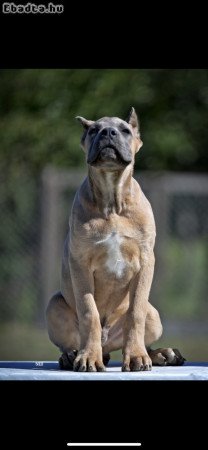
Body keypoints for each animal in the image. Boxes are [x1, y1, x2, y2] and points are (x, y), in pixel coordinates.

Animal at [46, 107, 185, 370]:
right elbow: (89, 311)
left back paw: (161, 354)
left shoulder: (145, 262)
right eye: (93, 130)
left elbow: (135, 312)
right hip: (54, 305)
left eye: (125, 130)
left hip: (154, 315)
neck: (113, 201)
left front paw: (137, 357)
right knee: (70, 341)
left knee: (141, 329)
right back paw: (73, 355)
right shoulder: (80, 262)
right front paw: (88, 358)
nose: (108, 133)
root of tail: (107, 344)